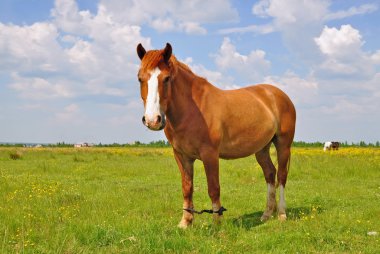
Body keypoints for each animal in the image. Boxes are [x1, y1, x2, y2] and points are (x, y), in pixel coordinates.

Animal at [137, 42, 296, 228]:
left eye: (167, 78)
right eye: (140, 78)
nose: (152, 120)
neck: (192, 110)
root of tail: (277, 94)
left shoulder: (210, 154)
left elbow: (213, 188)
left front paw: (217, 222)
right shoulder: (182, 156)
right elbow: (187, 188)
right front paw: (185, 222)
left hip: (283, 145)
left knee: (282, 176)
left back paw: (282, 214)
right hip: (262, 149)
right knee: (270, 174)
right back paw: (266, 214)